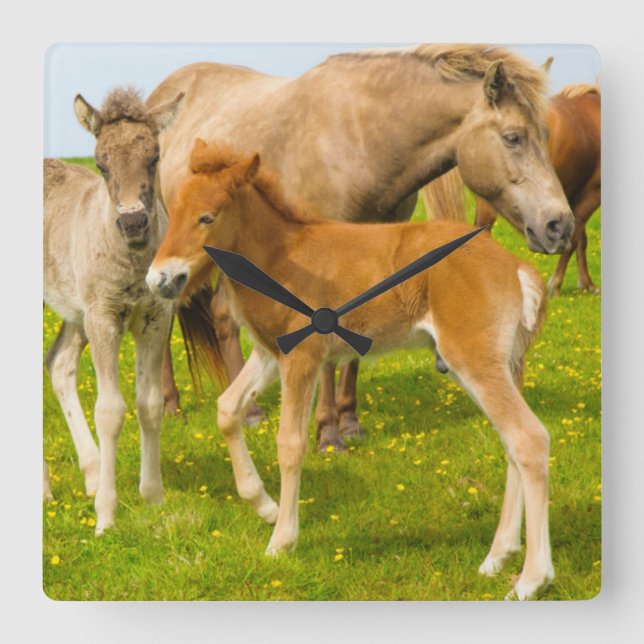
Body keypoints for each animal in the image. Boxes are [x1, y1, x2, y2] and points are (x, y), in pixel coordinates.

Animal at [43, 88, 184, 533]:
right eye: (101, 164)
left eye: (155, 157)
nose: (134, 223)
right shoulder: (103, 317)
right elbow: (109, 410)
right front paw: (106, 515)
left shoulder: (155, 317)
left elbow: (150, 404)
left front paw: (153, 498)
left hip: (75, 311)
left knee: (59, 365)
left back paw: (89, 471)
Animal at [147, 44, 572, 450]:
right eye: (513, 137)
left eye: (547, 135)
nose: (560, 225)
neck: (360, 140)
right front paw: (327, 434)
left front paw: (349, 423)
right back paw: (171, 405)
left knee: (221, 316)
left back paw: (247, 409)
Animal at [147, 140, 554, 601]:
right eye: (173, 212)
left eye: (207, 217)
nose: (159, 279)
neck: (280, 255)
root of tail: (518, 269)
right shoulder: (271, 353)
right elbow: (227, 408)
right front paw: (264, 505)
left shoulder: (302, 358)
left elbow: (290, 444)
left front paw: (281, 540)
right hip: (502, 365)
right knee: (511, 444)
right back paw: (498, 557)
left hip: (475, 360)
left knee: (528, 439)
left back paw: (532, 578)